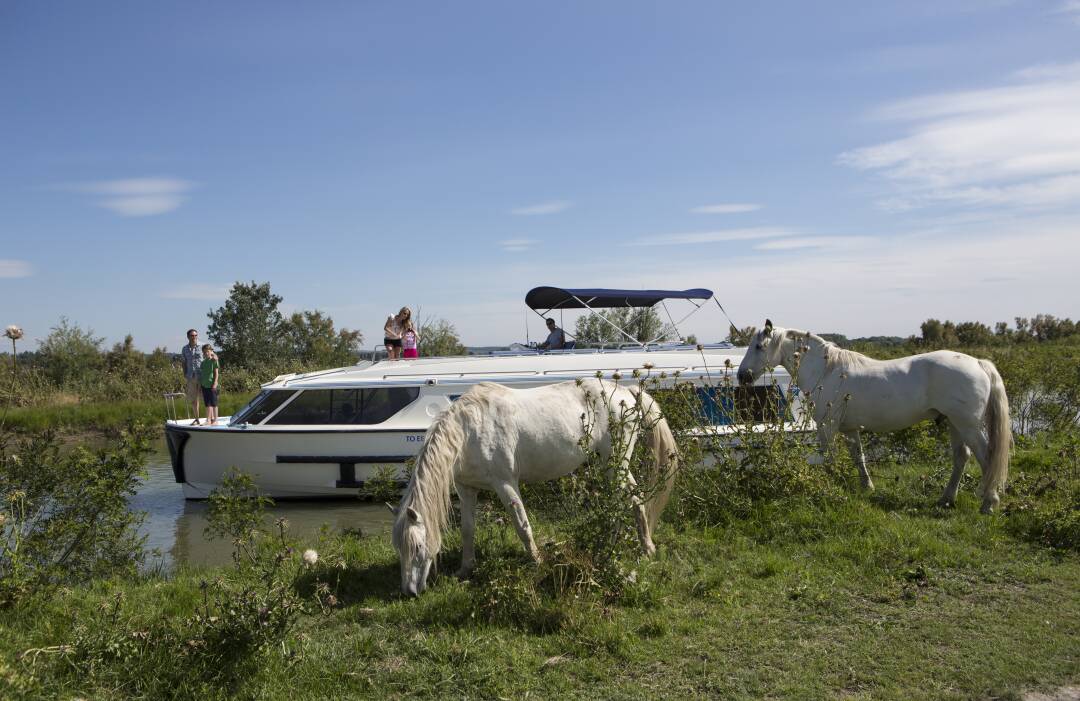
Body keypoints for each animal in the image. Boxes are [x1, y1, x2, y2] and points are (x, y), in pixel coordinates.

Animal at [393, 380, 678, 591]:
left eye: (417, 547)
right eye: (399, 548)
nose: (409, 592)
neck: (468, 431)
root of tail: (626, 392)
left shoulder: (505, 484)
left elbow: (522, 526)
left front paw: (538, 561)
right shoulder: (466, 490)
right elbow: (467, 530)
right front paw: (465, 569)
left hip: (615, 462)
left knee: (635, 499)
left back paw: (647, 549)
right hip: (609, 465)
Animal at [738, 319, 1006, 511]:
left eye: (759, 347)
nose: (742, 376)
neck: (827, 370)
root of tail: (978, 363)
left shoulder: (827, 426)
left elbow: (829, 459)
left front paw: (830, 488)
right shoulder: (849, 429)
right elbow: (859, 457)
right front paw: (867, 487)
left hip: (968, 425)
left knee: (986, 458)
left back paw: (988, 503)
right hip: (954, 423)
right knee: (962, 457)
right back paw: (946, 500)